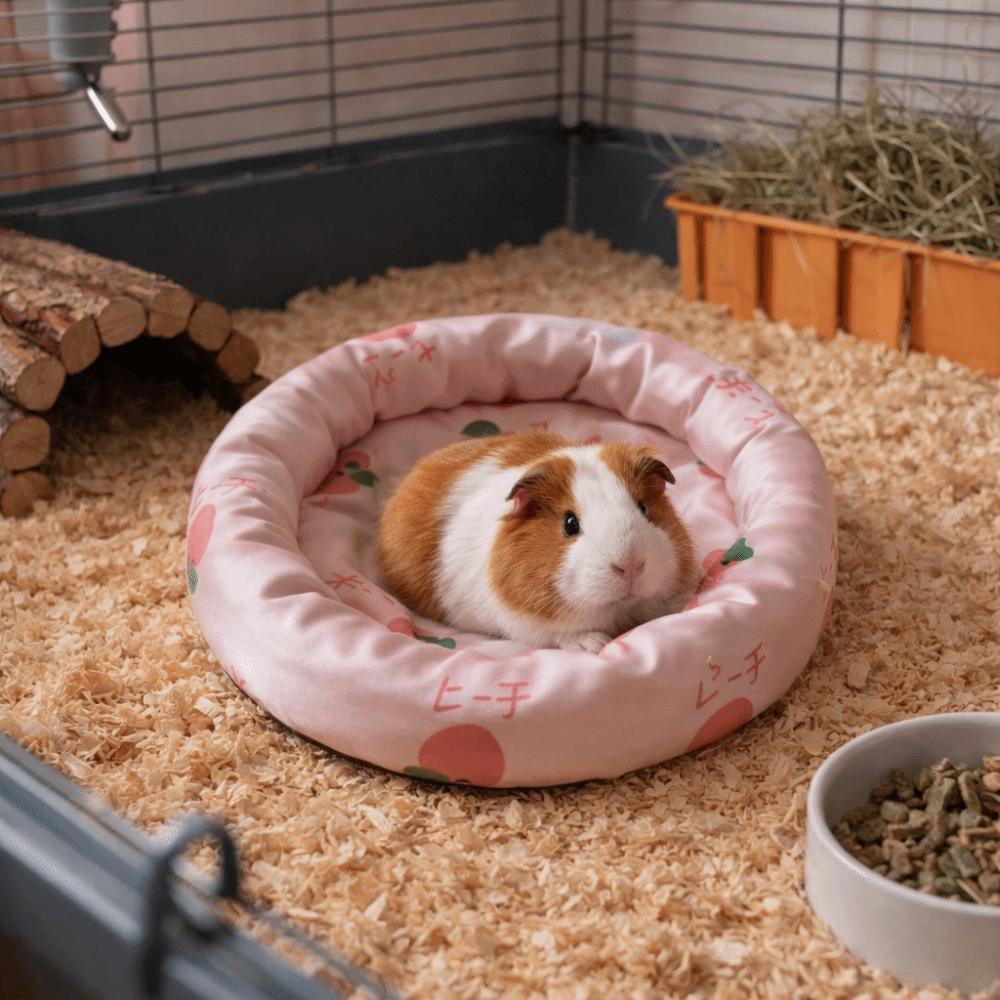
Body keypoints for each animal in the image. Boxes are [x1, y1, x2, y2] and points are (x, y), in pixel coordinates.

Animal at [376, 430, 696, 652]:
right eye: (570, 524)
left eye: (643, 508)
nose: (629, 566)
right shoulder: (529, 624)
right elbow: (561, 634)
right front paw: (596, 644)